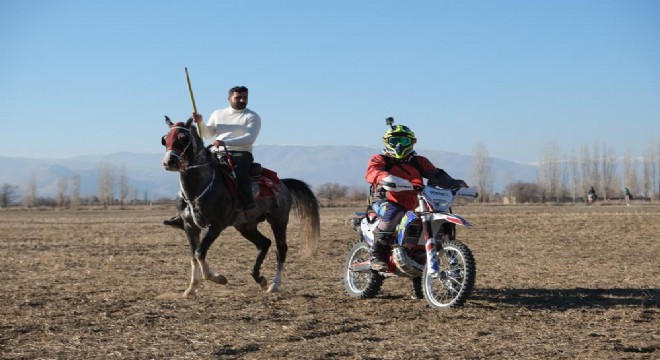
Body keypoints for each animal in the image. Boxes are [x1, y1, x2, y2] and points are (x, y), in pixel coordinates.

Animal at [160, 116, 320, 296]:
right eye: (165, 139)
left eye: (183, 138)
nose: (169, 162)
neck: (197, 189)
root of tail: (283, 183)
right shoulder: (190, 226)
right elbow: (194, 255)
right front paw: (192, 288)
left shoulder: (215, 225)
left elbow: (200, 252)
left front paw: (218, 278)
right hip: (246, 226)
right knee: (264, 243)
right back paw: (260, 279)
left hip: (278, 221)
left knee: (281, 249)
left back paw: (274, 284)